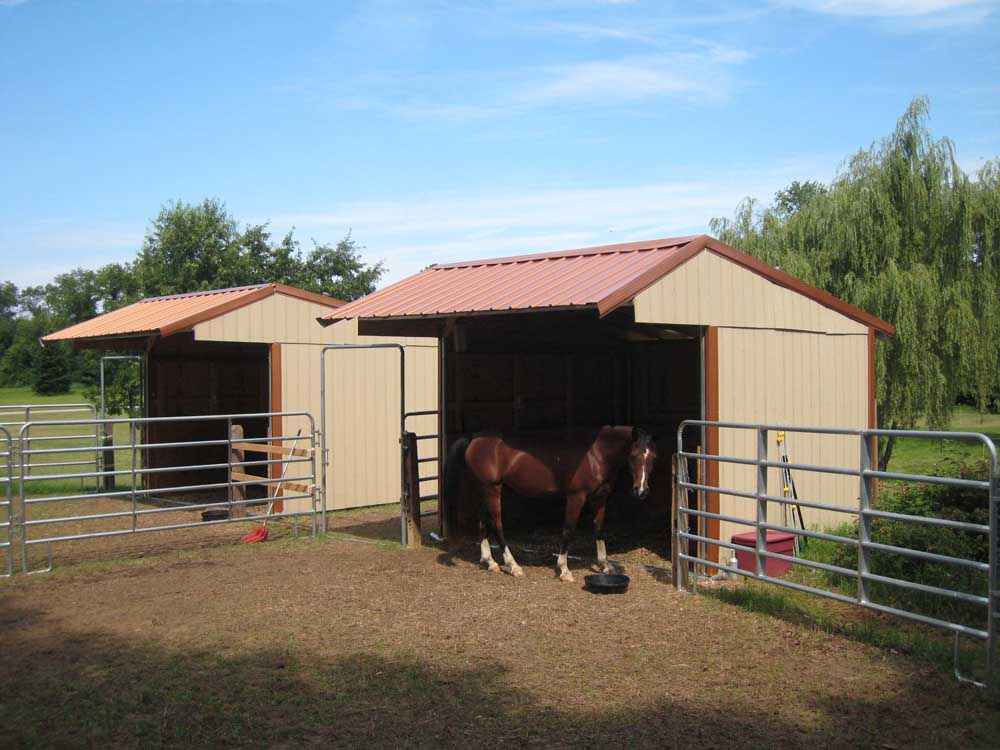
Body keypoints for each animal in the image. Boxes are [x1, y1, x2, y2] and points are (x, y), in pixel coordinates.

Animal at [444, 428, 660, 580]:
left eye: (652, 457)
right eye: (633, 455)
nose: (641, 490)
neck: (596, 454)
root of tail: (474, 438)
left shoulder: (599, 497)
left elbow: (599, 529)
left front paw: (605, 564)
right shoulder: (576, 497)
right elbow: (568, 530)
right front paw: (564, 570)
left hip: (485, 489)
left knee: (482, 522)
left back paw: (490, 562)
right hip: (493, 489)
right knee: (497, 525)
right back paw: (514, 566)